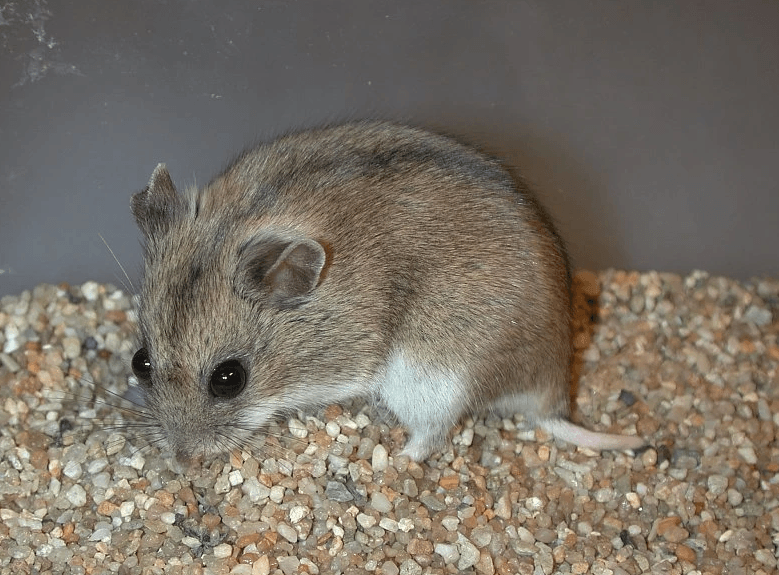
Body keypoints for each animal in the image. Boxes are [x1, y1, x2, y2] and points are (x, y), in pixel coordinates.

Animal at [130, 121, 644, 462]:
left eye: (229, 379)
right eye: (140, 363)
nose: (181, 461)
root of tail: (552, 392)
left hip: (434, 378)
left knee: (431, 437)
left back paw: (391, 462)